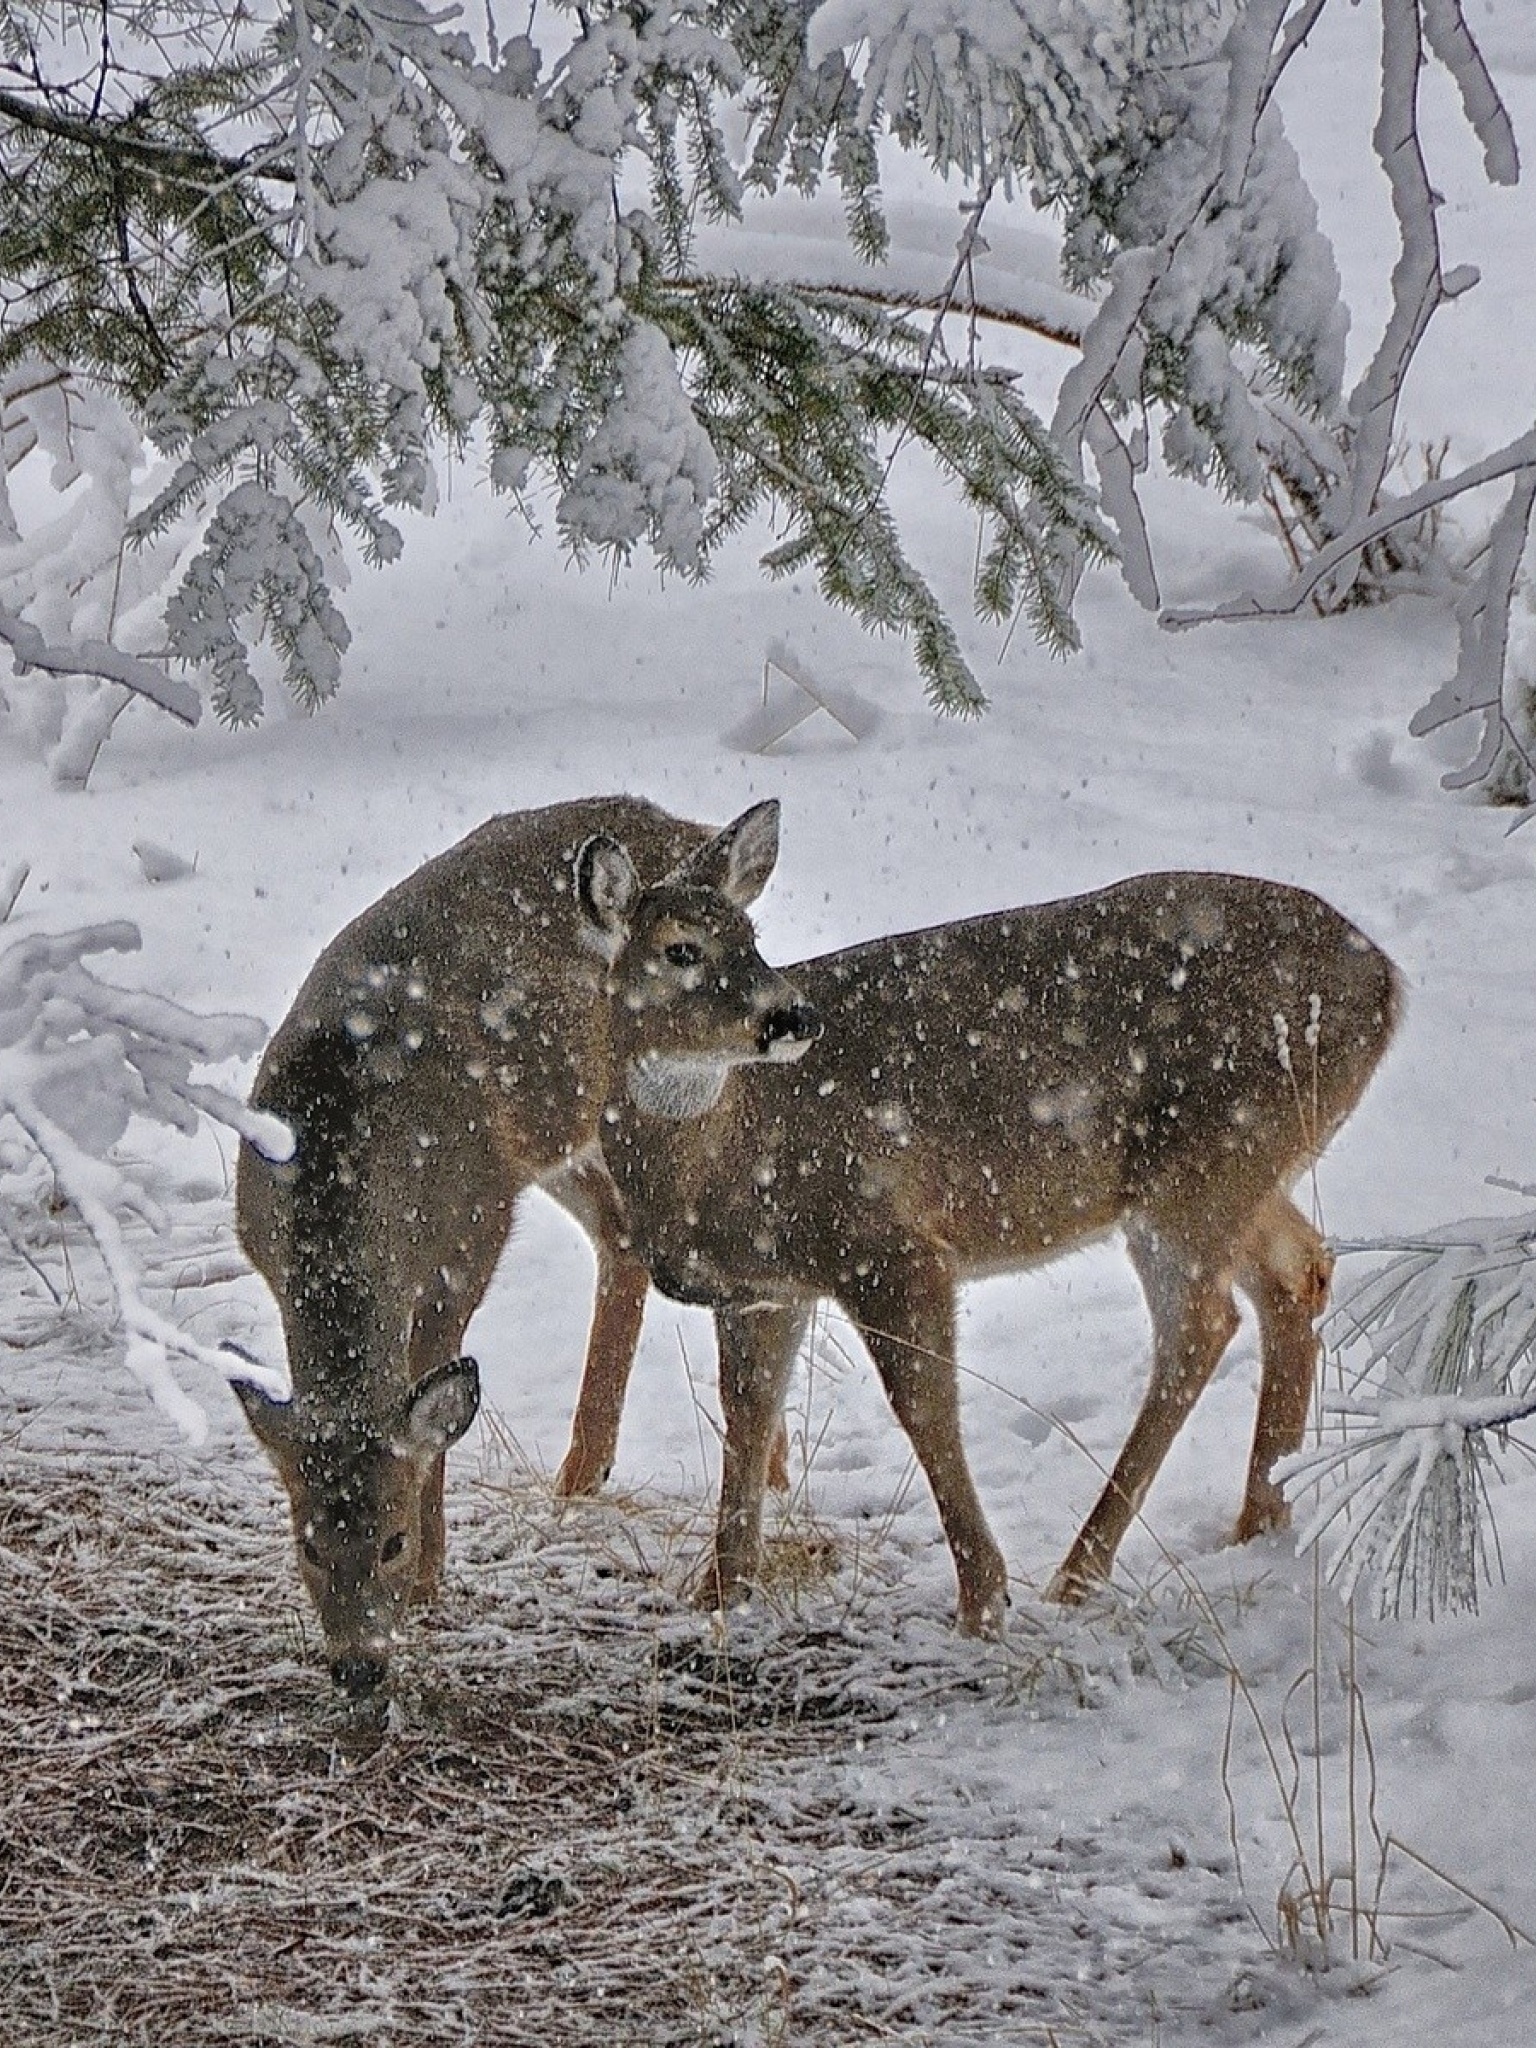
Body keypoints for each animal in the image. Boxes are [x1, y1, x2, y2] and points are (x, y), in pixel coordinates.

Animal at [228, 798, 741, 1695]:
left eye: (391, 1540)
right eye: (308, 1544)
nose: (358, 1666)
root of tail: (684, 826)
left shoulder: (470, 1233)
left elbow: (433, 1400)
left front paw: (432, 1583)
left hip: (670, 1092)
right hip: (561, 1131)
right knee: (622, 1237)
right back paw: (582, 1473)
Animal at [577, 798, 1409, 1630]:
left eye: (751, 937)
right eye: (681, 949)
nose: (792, 1017)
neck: (716, 1160)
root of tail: (1387, 982)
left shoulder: (888, 1243)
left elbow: (923, 1405)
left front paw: (982, 1598)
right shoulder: (762, 1288)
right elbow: (746, 1416)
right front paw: (718, 1592)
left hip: (1204, 1164)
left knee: (1201, 1326)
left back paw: (1079, 1572)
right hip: (1242, 1168)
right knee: (1299, 1269)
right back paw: (1261, 1521)